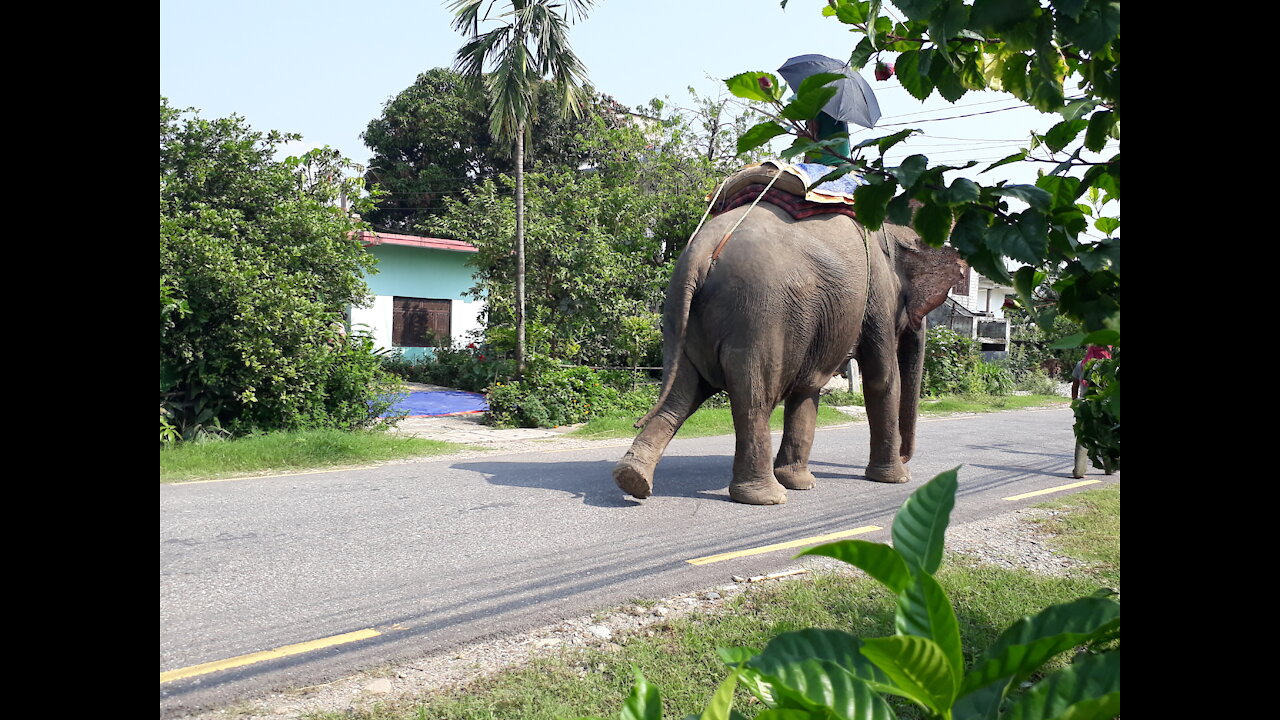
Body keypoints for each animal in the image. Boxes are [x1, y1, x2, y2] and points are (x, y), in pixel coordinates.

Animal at [609, 193, 962, 502]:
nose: (906, 456)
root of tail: (702, 251)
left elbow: (808, 389)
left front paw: (801, 482)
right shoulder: (876, 295)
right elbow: (882, 378)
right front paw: (896, 479)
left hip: (681, 317)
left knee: (681, 394)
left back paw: (633, 479)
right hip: (760, 316)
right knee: (755, 399)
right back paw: (766, 498)